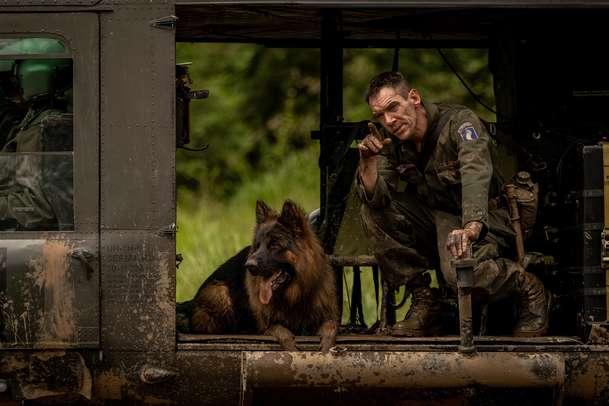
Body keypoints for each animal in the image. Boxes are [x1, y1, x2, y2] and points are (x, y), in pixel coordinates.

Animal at [190, 200, 340, 352]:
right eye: (257, 245)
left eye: (274, 245)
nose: (248, 265)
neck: (293, 295)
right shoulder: (266, 325)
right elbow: (280, 330)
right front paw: (291, 346)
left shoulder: (326, 313)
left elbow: (331, 325)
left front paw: (326, 346)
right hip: (220, 293)